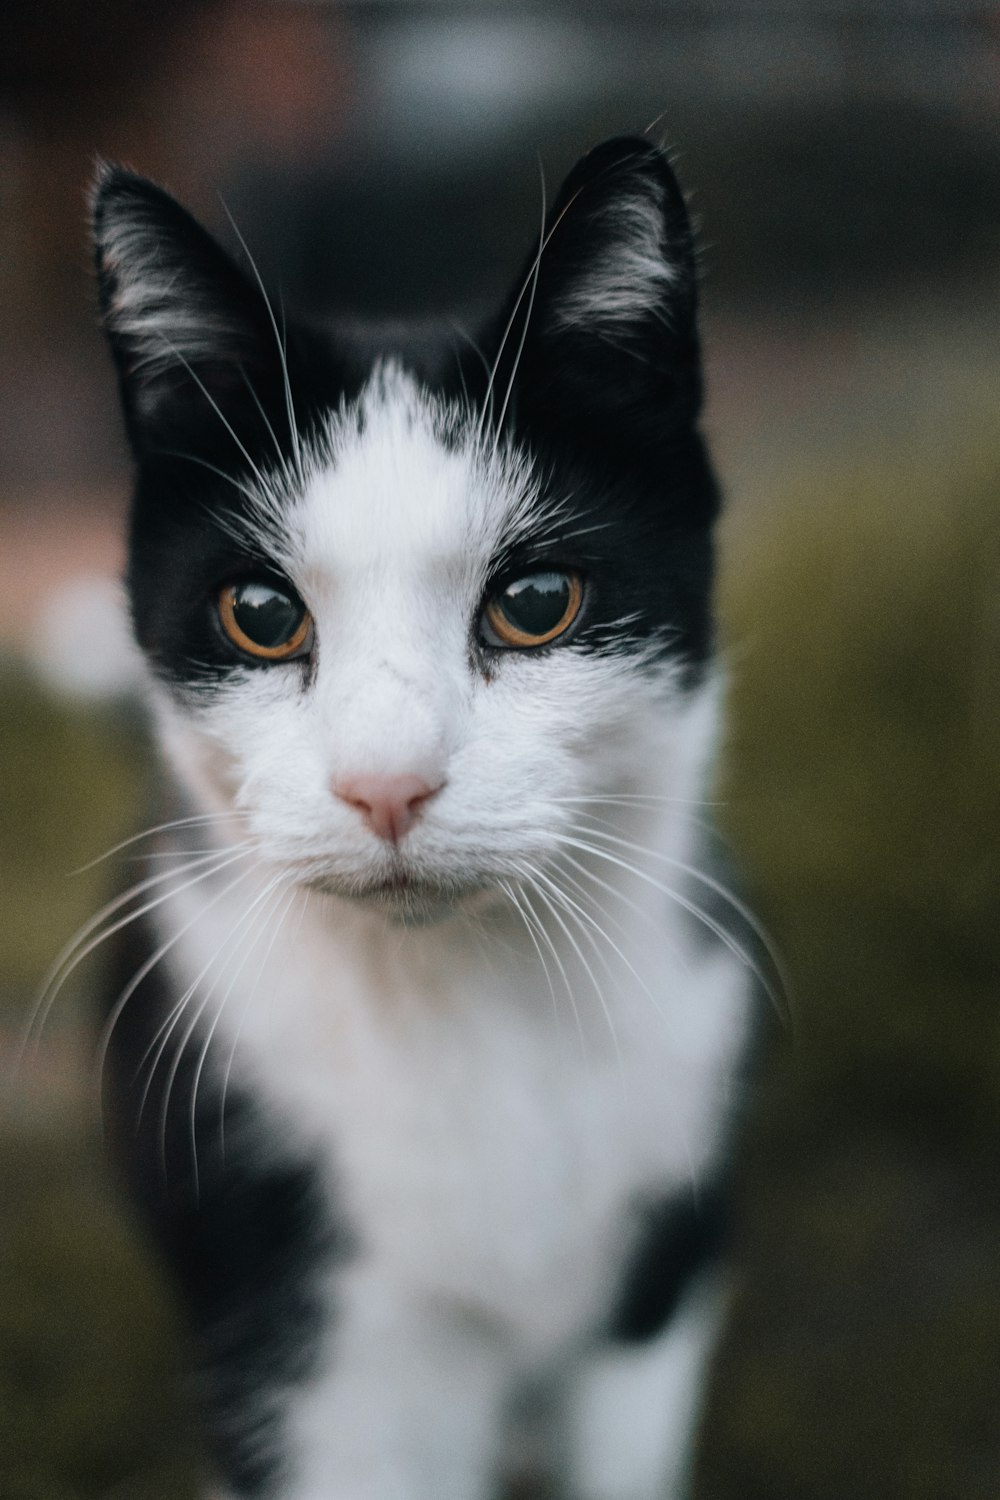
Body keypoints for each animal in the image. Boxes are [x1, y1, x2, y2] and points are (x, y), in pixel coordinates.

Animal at [91, 138, 758, 1500]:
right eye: (258, 614)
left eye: (538, 601)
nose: (386, 784)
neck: (468, 999)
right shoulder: (307, 1328)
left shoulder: (655, 1282)